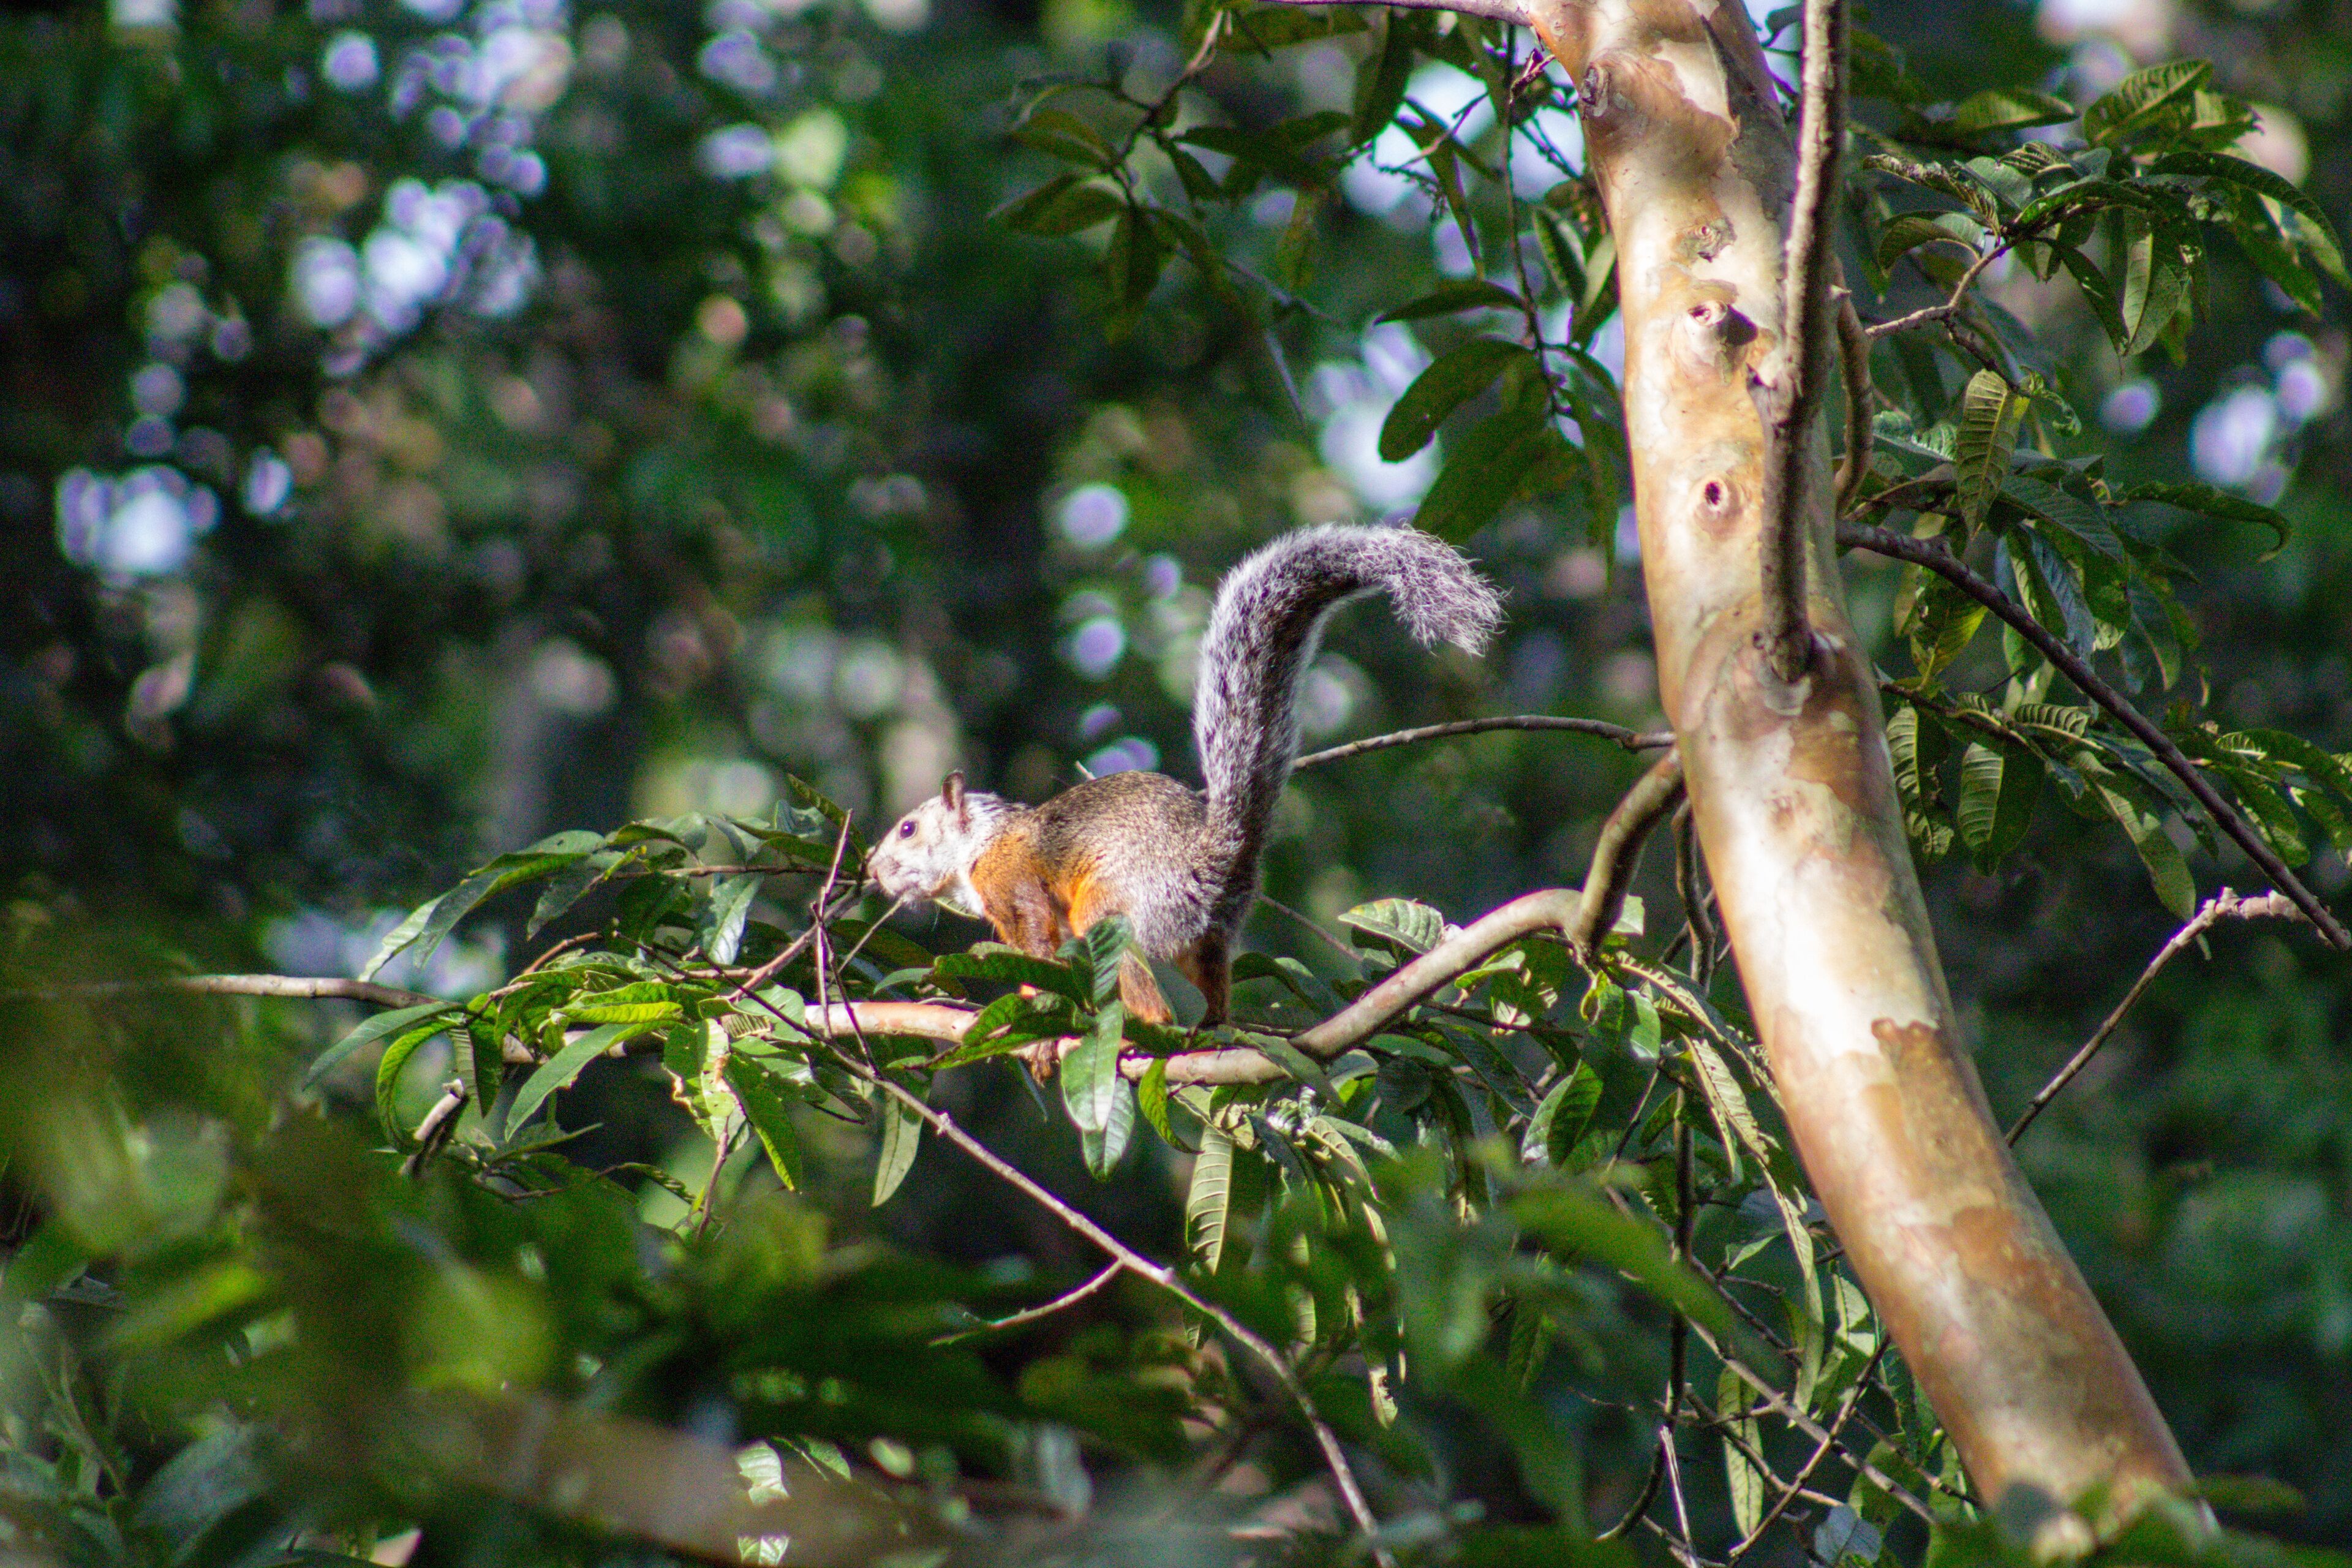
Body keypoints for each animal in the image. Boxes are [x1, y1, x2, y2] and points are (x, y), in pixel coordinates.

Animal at [867, 523, 1503, 1028]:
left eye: (908, 829)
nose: (871, 870)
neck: (980, 841)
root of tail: (1212, 860)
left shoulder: (1014, 882)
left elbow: (1039, 945)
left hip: (1116, 910)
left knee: (1145, 990)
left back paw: (1148, 1030)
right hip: (1209, 938)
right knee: (1213, 985)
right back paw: (1213, 1029)